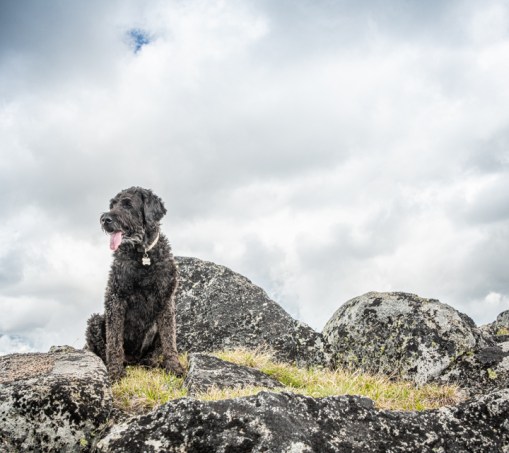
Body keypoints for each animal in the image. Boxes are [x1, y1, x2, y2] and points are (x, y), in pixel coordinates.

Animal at [85, 186, 184, 381]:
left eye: (127, 204)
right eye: (112, 205)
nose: (105, 219)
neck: (143, 254)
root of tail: (134, 361)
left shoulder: (166, 301)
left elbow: (169, 339)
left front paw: (174, 367)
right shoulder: (115, 298)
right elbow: (114, 341)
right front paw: (115, 372)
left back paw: (153, 364)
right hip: (95, 321)